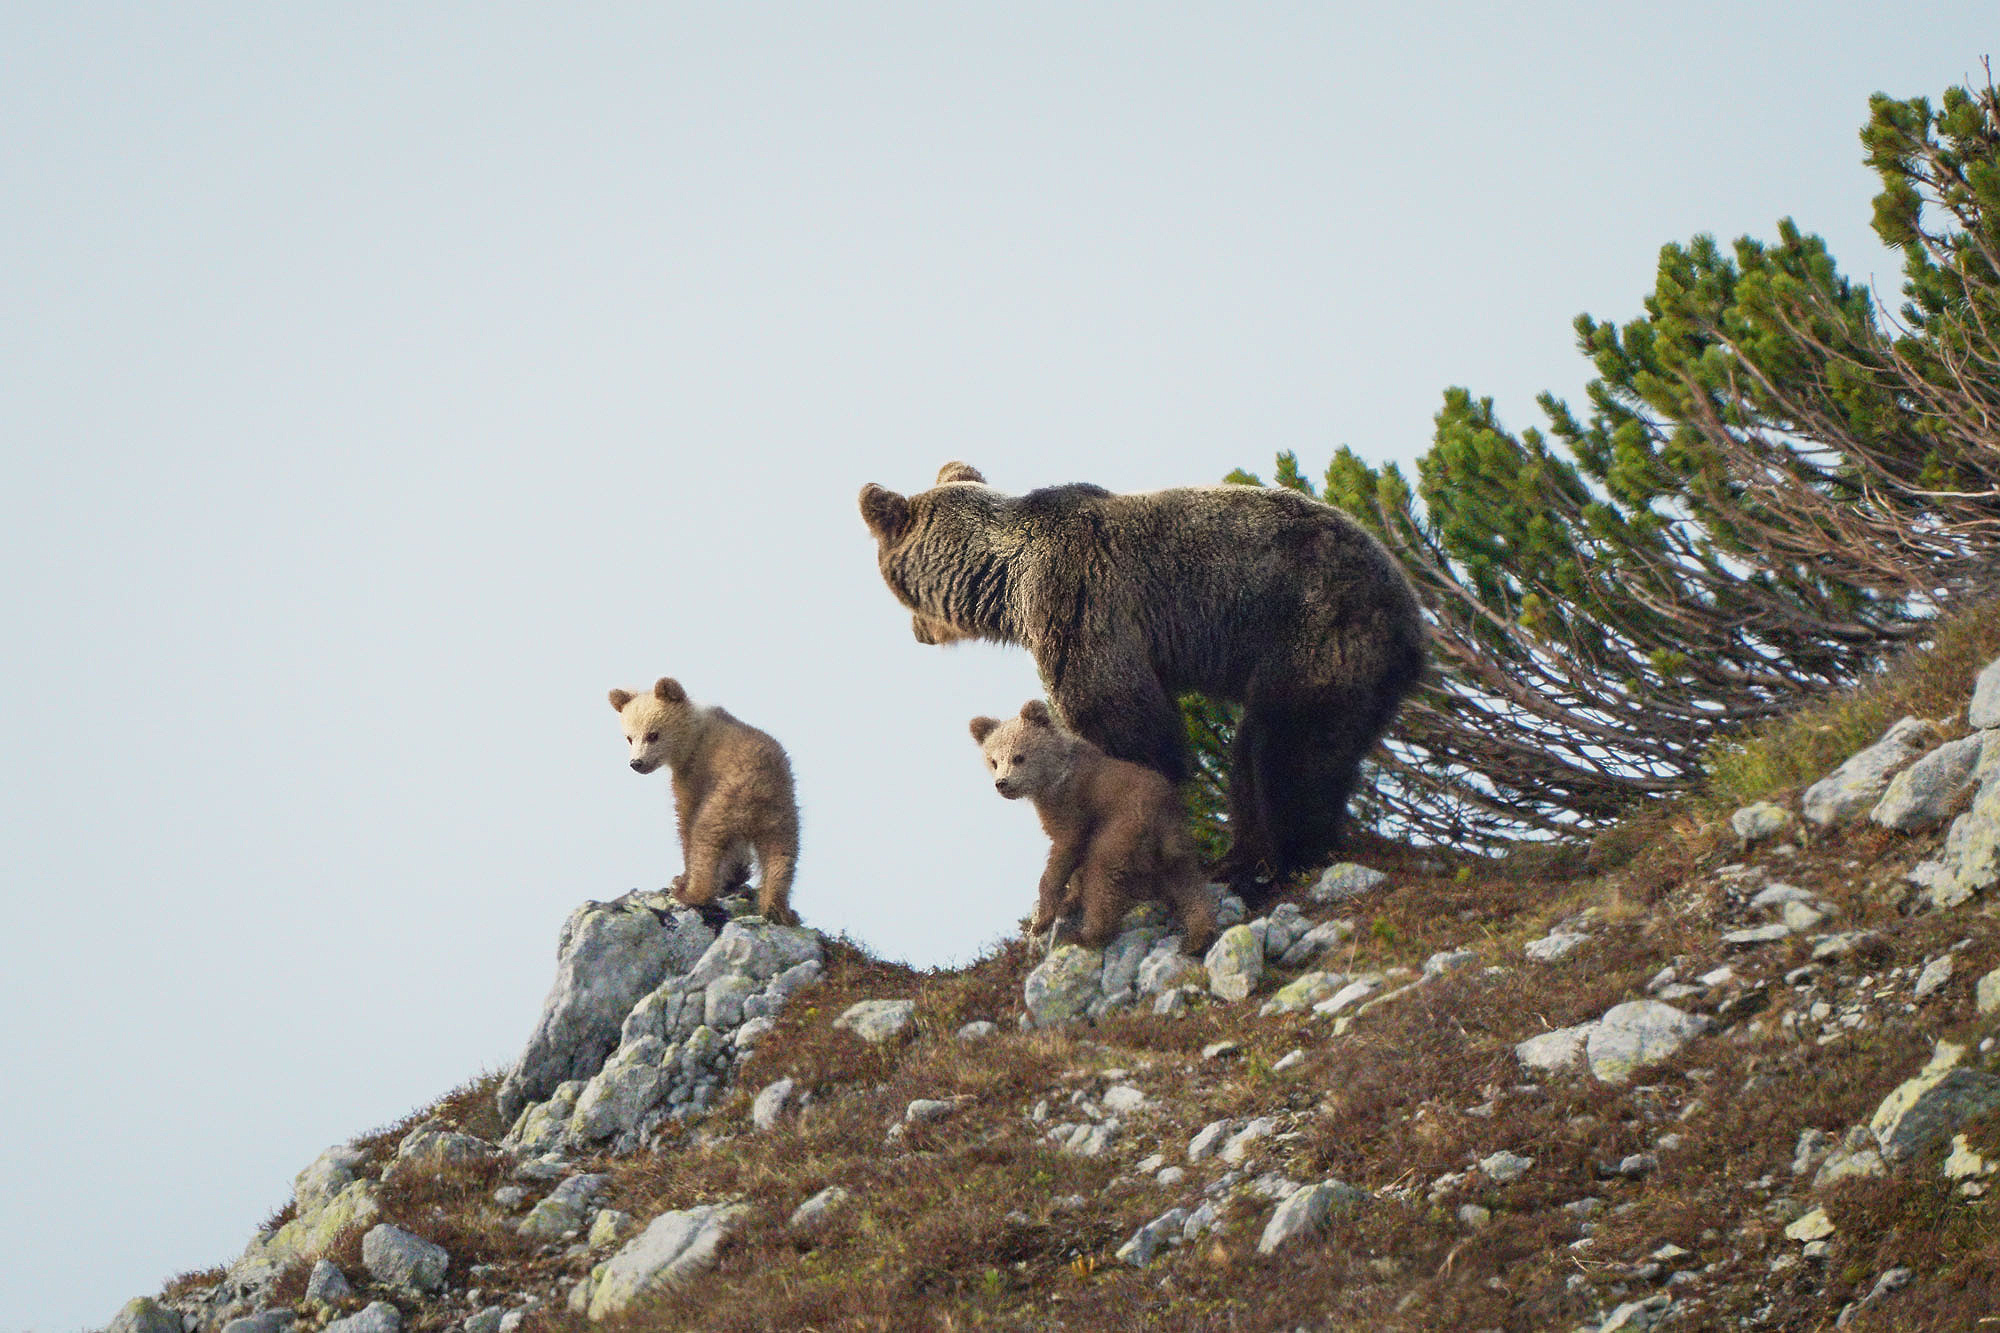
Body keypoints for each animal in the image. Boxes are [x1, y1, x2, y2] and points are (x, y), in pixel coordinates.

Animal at [860, 460, 1424, 904]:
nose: (917, 634)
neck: (1005, 578)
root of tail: (1413, 611)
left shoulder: (1077, 601)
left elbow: (1122, 719)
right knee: (1257, 754)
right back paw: (1242, 858)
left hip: (1317, 630)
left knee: (1289, 749)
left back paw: (1285, 861)